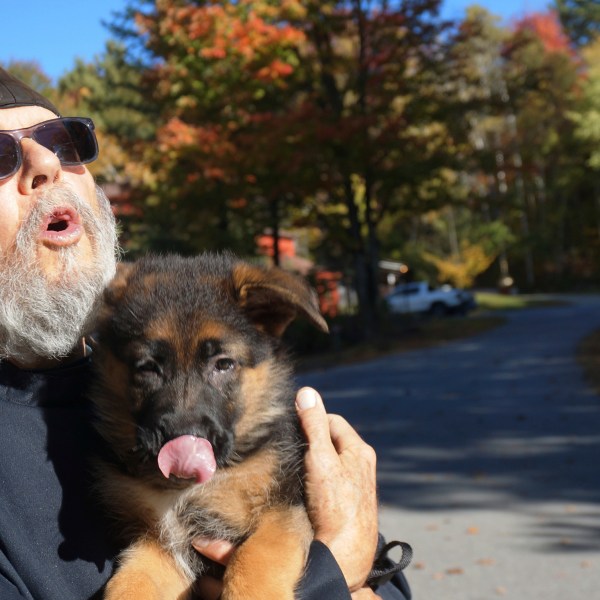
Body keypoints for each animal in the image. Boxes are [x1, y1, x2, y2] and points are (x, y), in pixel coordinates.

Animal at [91, 254, 330, 600]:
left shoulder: (283, 512)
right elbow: (129, 584)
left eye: (223, 364)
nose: (182, 447)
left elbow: (253, 560)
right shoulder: (160, 546)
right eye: (147, 367)